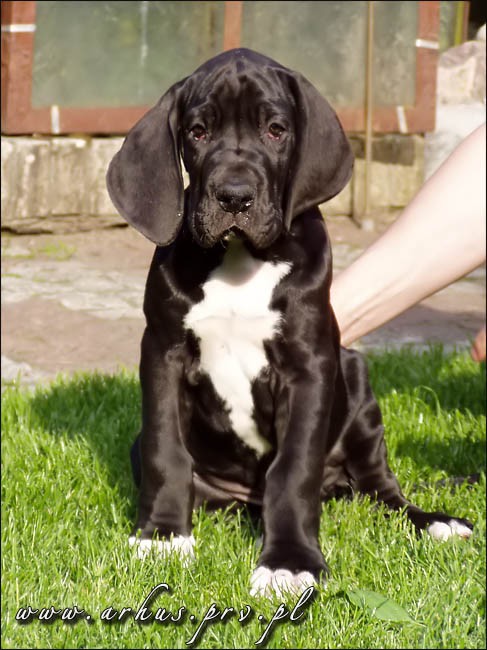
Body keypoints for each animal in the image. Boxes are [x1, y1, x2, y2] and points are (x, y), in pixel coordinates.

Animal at [106, 48, 473, 598]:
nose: (234, 196)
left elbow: (293, 470)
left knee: (382, 490)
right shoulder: (162, 354)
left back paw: (434, 522)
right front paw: (165, 537)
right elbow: (164, 451)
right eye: (197, 132)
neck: (240, 260)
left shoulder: (310, 367)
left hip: (358, 386)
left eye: (276, 130)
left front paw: (290, 561)